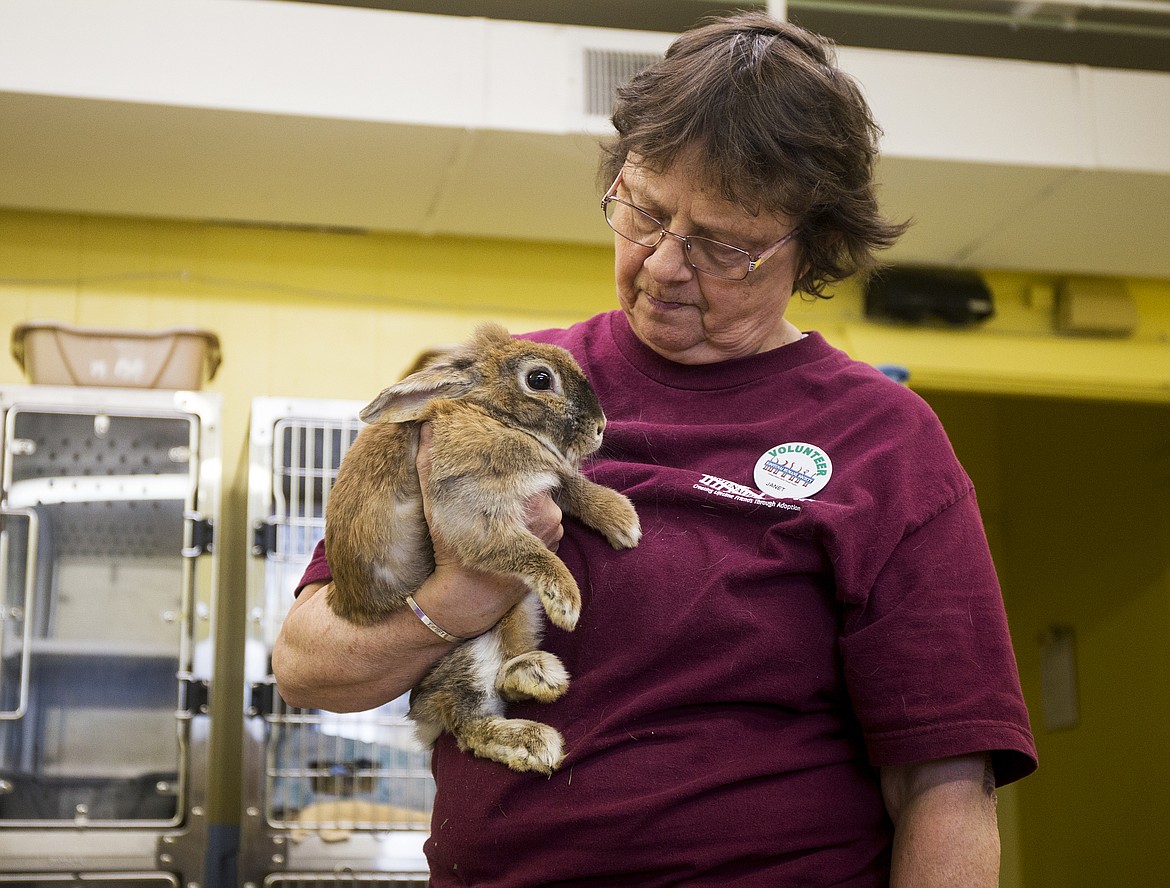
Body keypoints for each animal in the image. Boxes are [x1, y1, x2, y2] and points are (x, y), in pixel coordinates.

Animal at [325, 322, 645, 776]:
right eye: (540, 379)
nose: (601, 426)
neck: (493, 416)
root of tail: (422, 714)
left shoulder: (543, 479)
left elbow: (570, 483)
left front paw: (622, 521)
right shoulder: (469, 509)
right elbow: (531, 549)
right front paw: (567, 602)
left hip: (518, 616)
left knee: (501, 684)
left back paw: (536, 674)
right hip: (472, 651)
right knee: (469, 721)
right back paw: (534, 740)